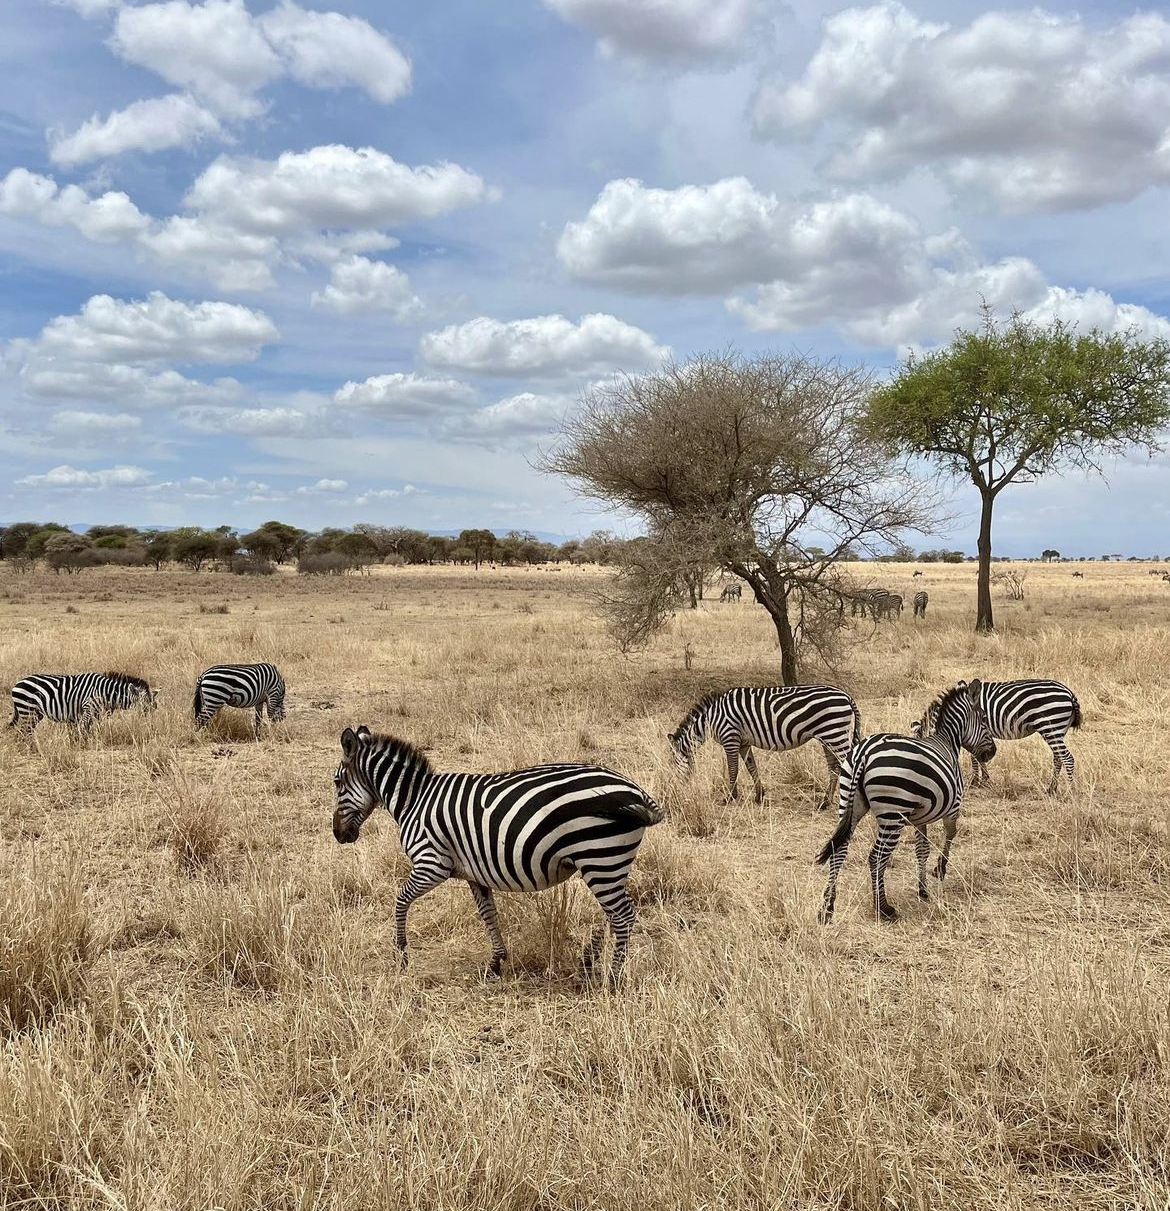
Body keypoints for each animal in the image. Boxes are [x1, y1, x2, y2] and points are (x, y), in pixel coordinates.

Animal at [6, 668, 156, 731]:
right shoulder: (87, 709)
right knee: (24, 732)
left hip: (35, 714)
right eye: (144, 705)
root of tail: (17, 683)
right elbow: (83, 730)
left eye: (154, 706)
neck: (106, 693)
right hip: (28, 710)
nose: (151, 723)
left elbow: (92, 730)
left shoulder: (97, 714)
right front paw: (80, 746)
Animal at [329, 721, 663, 978]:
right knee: (614, 914)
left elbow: (400, 901)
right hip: (607, 865)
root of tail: (637, 791)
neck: (414, 800)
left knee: (623, 916)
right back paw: (589, 960)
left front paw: (402, 956)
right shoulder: (473, 873)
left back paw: (613, 978)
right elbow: (488, 913)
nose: (338, 834)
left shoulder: (431, 864)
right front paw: (496, 962)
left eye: (336, 783)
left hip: (599, 858)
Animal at [668, 687, 862, 808]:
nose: (673, 791)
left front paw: (730, 797)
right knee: (834, 768)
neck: (710, 719)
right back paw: (825, 802)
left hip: (834, 734)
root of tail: (846, 696)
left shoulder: (730, 738)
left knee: (847, 764)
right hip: (828, 737)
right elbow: (751, 767)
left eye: (671, 763)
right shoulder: (743, 742)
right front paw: (759, 795)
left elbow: (733, 769)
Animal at [813, 678, 998, 920]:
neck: (946, 741)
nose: (992, 752)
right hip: (893, 815)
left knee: (839, 850)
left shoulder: (921, 817)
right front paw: (940, 869)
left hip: (849, 804)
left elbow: (922, 849)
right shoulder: (952, 807)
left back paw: (827, 908)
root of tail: (864, 753)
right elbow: (950, 835)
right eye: (984, 719)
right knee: (876, 857)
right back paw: (883, 908)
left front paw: (923, 889)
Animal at [920, 683, 1085, 794]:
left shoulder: (975, 731)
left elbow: (974, 757)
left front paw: (976, 781)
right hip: (1058, 730)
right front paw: (984, 779)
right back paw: (1051, 789)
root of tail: (1069, 693)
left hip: (1051, 726)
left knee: (1067, 758)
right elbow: (979, 756)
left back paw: (1070, 792)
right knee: (1058, 758)